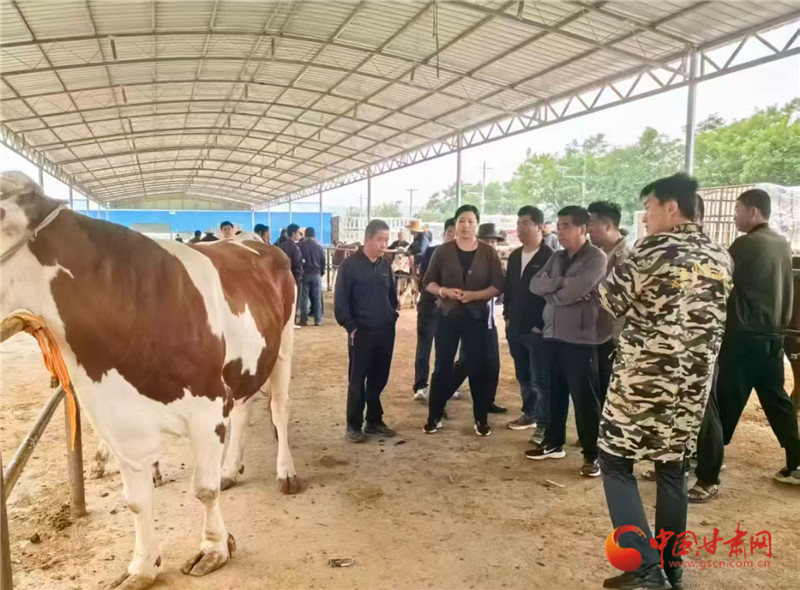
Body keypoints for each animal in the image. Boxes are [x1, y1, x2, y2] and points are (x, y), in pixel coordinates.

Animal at [0, 171, 298, 589]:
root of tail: (251, 241)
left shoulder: (207, 408)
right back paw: (230, 469)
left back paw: (285, 472)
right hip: (246, 364)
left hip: (283, 345)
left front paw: (214, 549)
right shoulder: (115, 414)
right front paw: (142, 567)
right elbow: (135, 500)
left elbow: (203, 489)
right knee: (243, 408)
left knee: (279, 408)